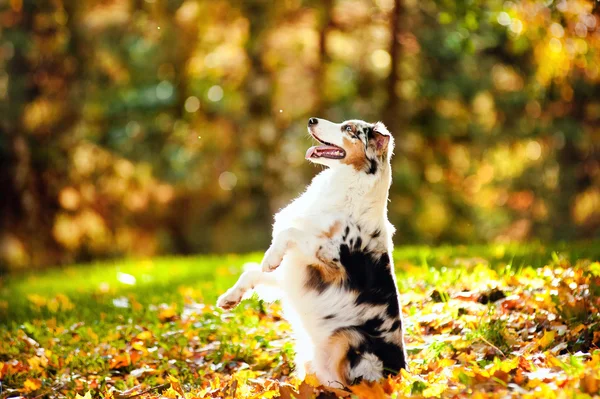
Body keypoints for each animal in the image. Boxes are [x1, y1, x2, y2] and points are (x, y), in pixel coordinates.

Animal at [216, 117, 408, 386]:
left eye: (349, 129)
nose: (311, 120)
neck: (346, 186)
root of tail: (400, 373)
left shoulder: (330, 262)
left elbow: (290, 233)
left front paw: (271, 257)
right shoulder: (294, 271)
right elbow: (252, 273)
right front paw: (230, 298)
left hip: (348, 340)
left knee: (345, 385)